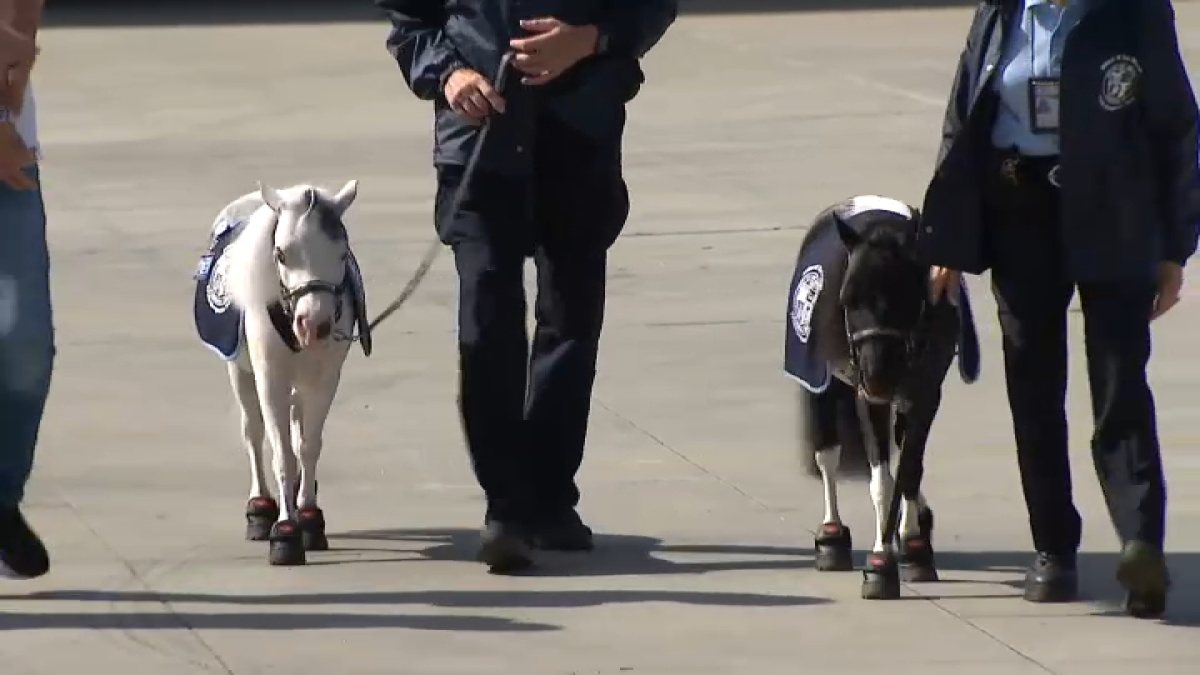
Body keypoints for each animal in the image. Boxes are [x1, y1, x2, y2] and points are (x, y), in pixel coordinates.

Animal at [193, 178, 369, 562]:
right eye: (282, 254)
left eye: (342, 255)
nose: (314, 325)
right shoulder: (270, 379)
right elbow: (282, 455)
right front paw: (285, 530)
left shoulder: (324, 379)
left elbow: (308, 446)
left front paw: (310, 517)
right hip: (240, 372)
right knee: (253, 432)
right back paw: (260, 509)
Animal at [787, 193, 974, 593]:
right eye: (847, 299)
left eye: (907, 295)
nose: (877, 379)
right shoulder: (867, 399)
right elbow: (882, 483)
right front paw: (880, 560)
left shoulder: (926, 393)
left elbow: (910, 469)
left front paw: (914, 547)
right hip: (822, 384)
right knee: (828, 453)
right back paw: (831, 538)